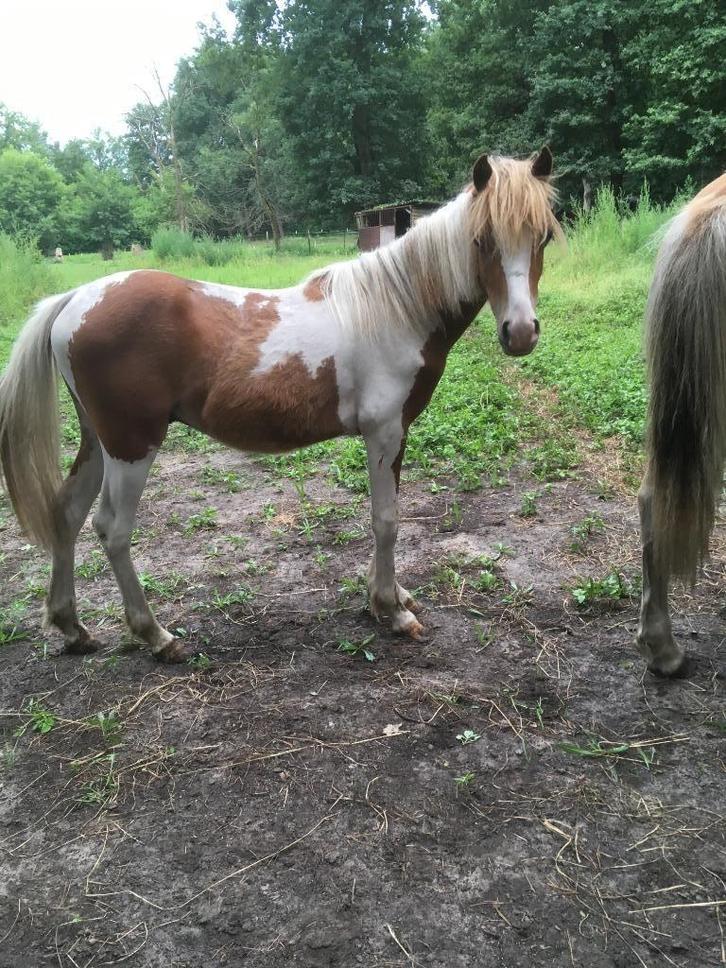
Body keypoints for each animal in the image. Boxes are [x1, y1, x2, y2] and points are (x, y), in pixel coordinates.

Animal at [0, 148, 561, 664]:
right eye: (482, 239)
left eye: (543, 238)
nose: (521, 333)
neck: (396, 310)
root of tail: (74, 299)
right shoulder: (383, 432)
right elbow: (386, 519)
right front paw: (391, 611)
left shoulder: (394, 434)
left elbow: (387, 514)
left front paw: (390, 596)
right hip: (132, 445)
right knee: (113, 531)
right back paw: (157, 637)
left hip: (100, 440)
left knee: (68, 514)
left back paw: (73, 629)